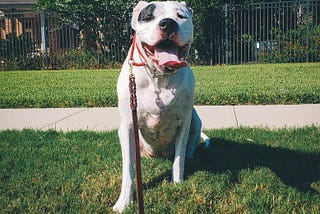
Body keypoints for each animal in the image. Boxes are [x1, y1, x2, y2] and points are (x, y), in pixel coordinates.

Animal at [114, 1, 210, 212]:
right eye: (148, 16)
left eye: (181, 15)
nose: (168, 23)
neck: (159, 77)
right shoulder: (127, 126)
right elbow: (128, 169)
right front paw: (124, 201)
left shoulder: (184, 123)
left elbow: (179, 159)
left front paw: (178, 183)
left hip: (196, 119)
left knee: (189, 146)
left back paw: (191, 155)